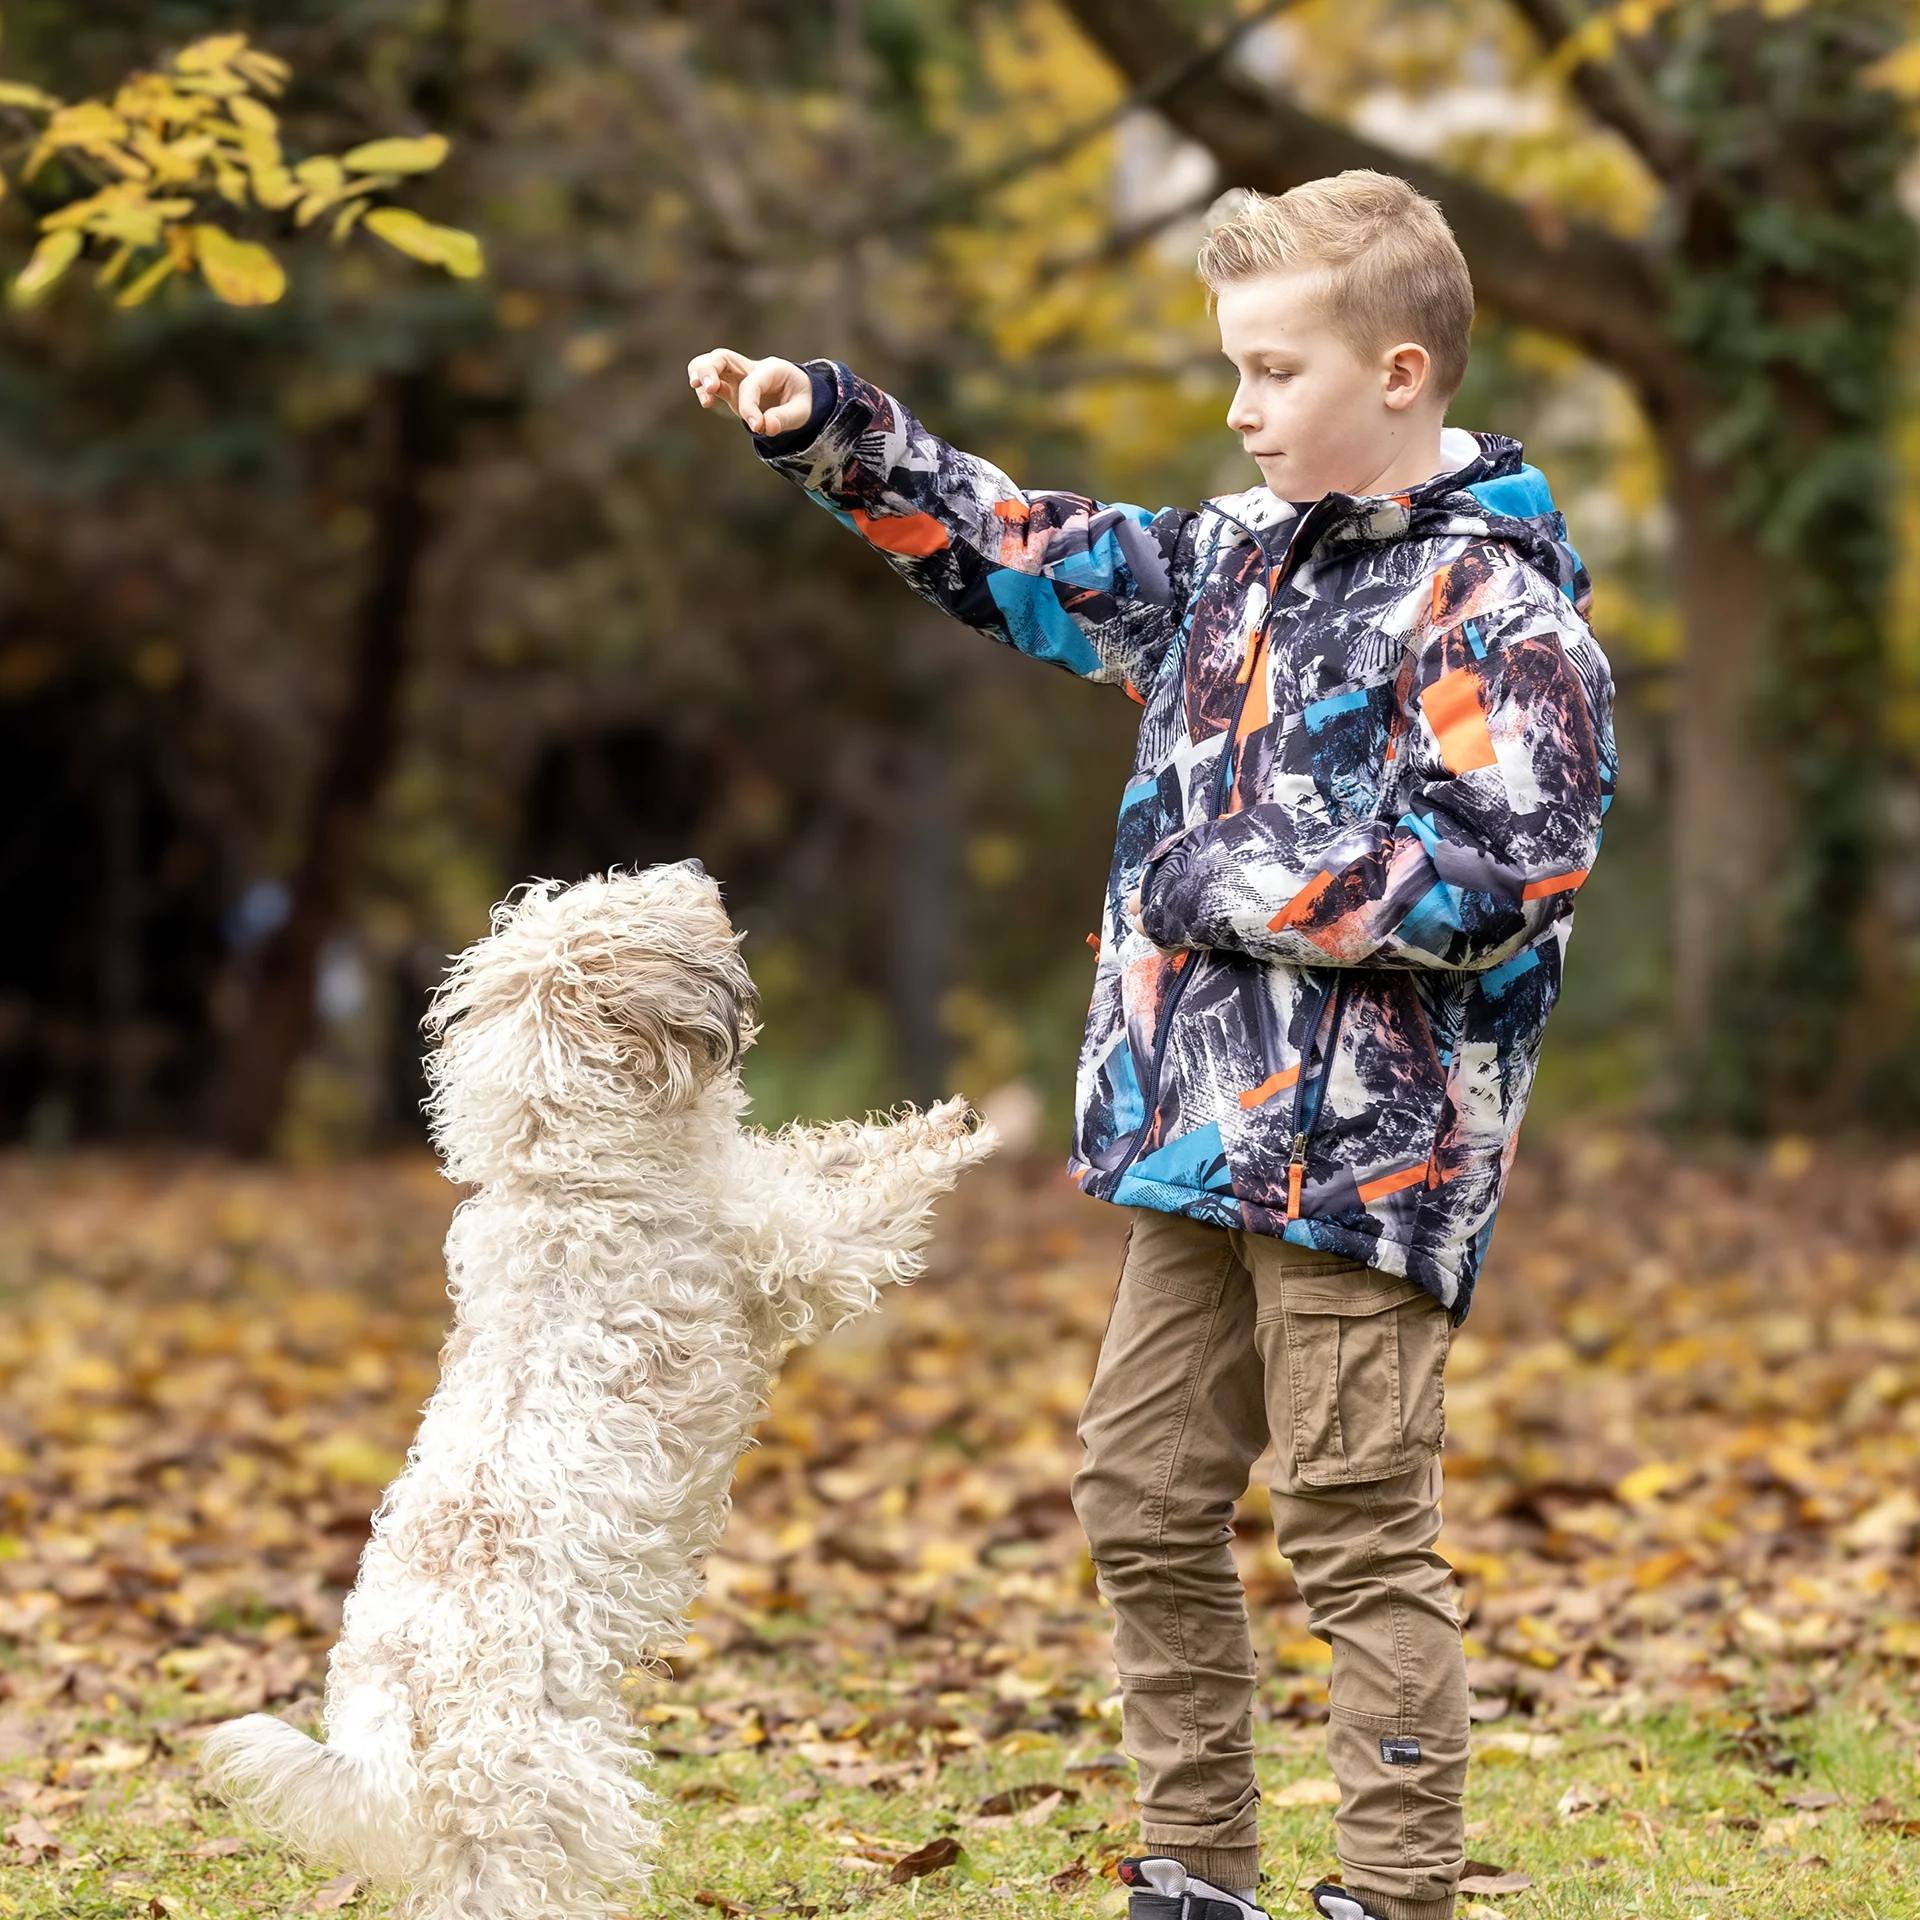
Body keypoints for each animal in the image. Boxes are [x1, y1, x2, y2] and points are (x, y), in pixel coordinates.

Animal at [202, 871, 998, 1920]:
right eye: (628, 907)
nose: (699, 876)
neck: (574, 1166)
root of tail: (391, 1697)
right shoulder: (800, 1255)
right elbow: (874, 1197)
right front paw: (966, 1131)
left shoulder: (769, 1192)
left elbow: (839, 1151)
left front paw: (934, 1115)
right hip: (550, 1786)